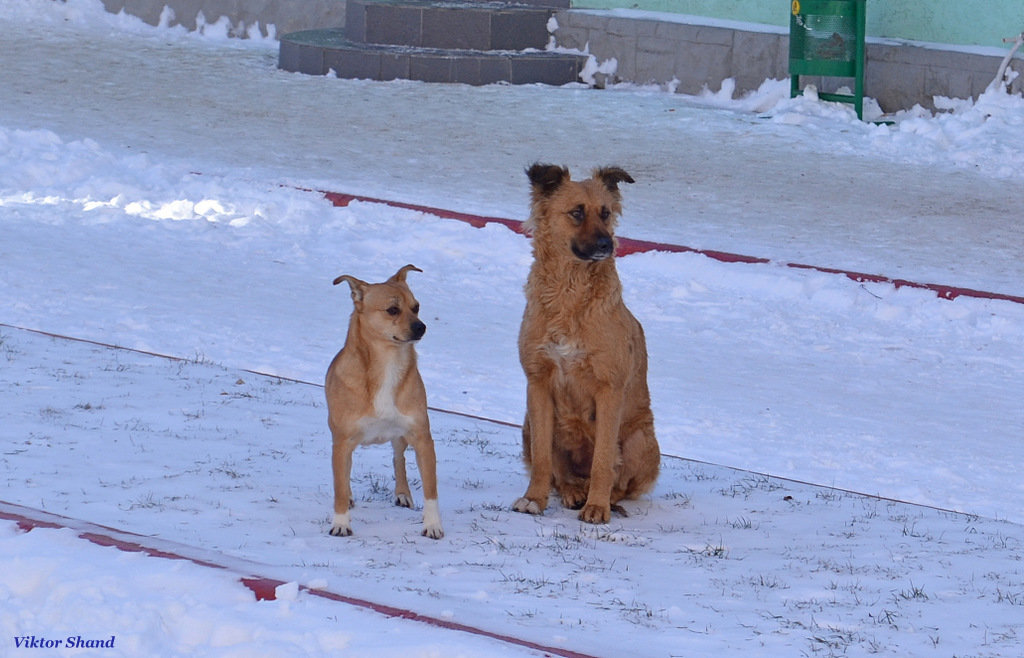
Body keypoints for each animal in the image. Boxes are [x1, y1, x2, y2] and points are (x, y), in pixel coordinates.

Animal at [325, 266, 442, 536]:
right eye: (392, 310)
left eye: (416, 306)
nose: (421, 327)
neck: (388, 365)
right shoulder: (342, 441)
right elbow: (339, 485)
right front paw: (341, 523)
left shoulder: (422, 438)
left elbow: (431, 488)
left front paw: (433, 524)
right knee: (345, 473)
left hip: (401, 436)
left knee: (398, 458)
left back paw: (402, 493)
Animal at [512, 164, 663, 523]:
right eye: (577, 213)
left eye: (605, 213)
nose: (607, 244)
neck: (569, 291)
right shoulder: (538, 383)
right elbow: (543, 458)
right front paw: (534, 499)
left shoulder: (609, 389)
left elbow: (603, 462)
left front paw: (597, 506)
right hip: (526, 421)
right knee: (562, 474)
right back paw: (571, 491)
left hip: (640, 438)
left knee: (620, 481)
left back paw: (602, 499)